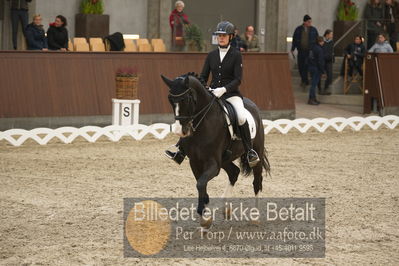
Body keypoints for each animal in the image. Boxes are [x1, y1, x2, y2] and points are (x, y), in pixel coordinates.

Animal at [161, 74, 270, 227]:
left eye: (186, 99)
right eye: (170, 100)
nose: (179, 131)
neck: (203, 123)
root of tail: (252, 105)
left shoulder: (213, 163)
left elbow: (201, 183)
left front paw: (205, 217)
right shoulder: (195, 162)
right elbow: (201, 184)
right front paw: (205, 214)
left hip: (256, 153)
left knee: (257, 181)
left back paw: (255, 217)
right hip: (225, 159)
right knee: (234, 173)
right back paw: (226, 208)